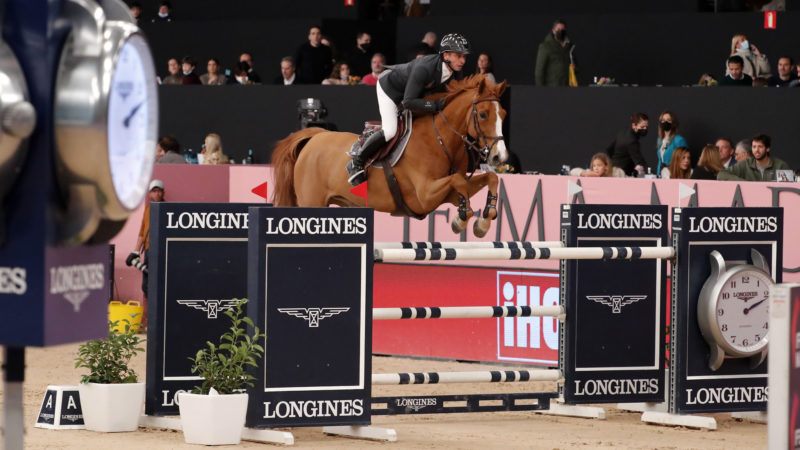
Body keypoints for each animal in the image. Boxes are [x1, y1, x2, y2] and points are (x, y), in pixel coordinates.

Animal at [268, 74, 506, 236]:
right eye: (483, 114)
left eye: (503, 114)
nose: (499, 157)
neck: (440, 139)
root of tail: (315, 136)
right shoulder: (424, 195)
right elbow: (458, 180)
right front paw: (462, 219)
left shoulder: (444, 195)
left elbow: (489, 178)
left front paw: (484, 219)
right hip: (312, 202)